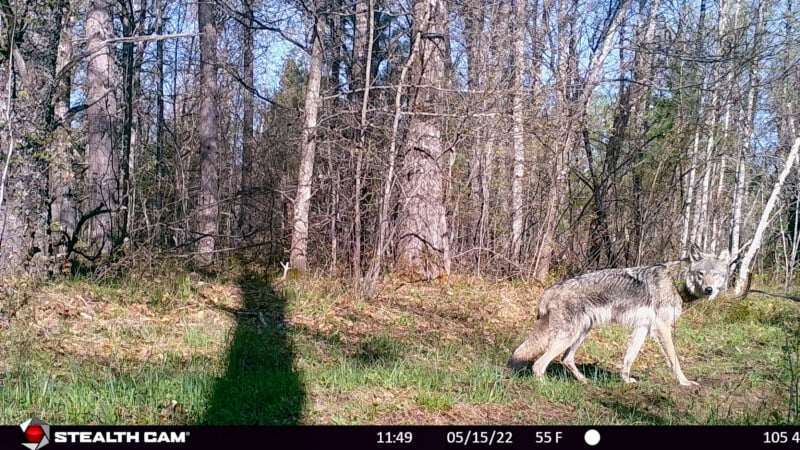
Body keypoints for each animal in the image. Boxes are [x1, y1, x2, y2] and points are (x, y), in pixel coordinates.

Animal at [508, 245, 735, 386]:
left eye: (715, 275)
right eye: (701, 274)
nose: (709, 289)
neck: (675, 282)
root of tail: (550, 291)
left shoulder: (643, 328)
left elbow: (629, 357)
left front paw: (625, 380)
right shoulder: (662, 328)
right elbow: (674, 359)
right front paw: (684, 382)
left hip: (581, 334)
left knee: (566, 359)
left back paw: (584, 382)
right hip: (568, 336)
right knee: (539, 365)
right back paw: (544, 385)